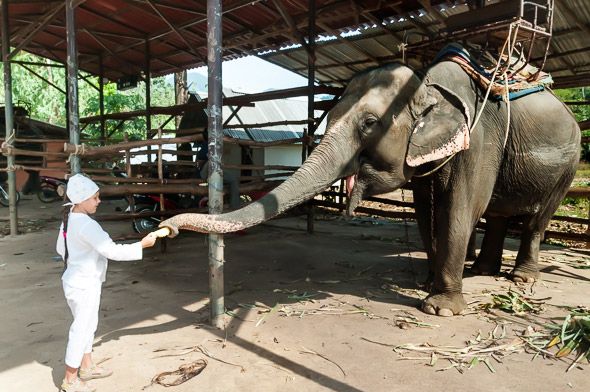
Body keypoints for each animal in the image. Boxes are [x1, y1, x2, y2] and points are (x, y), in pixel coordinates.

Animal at [161, 59, 584, 316]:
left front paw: (439, 308)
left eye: (368, 124)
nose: (164, 228)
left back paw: (522, 277)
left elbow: (460, 210)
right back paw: (482, 271)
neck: (427, 85)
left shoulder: (479, 139)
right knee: (498, 214)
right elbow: (426, 211)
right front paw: (427, 283)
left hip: (571, 161)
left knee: (536, 218)